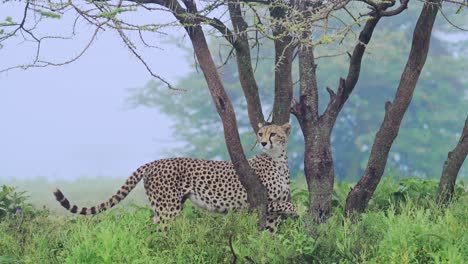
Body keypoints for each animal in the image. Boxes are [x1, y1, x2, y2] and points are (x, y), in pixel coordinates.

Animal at [54, 122, 296, 232]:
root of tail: (155, 162)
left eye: (274, 134)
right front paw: (300, 210)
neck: (278, 160)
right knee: (157, 234)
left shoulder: (271, 209)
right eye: (261, 133)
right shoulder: (259, 202)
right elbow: (291, 206)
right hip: (168, 210)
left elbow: (270, 235)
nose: (263, 142)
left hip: (163, 208)